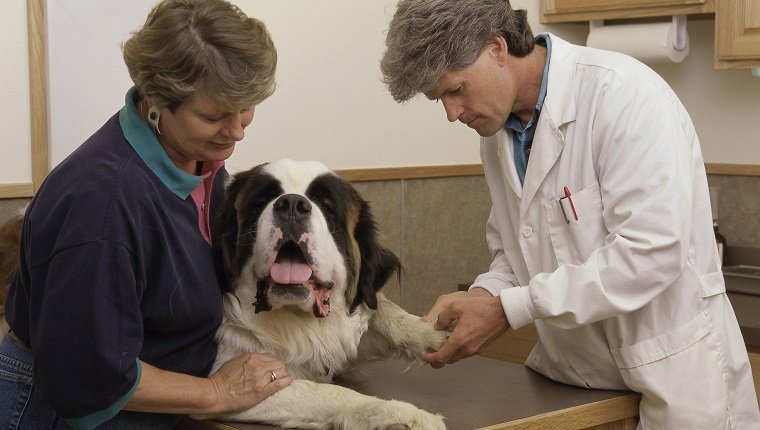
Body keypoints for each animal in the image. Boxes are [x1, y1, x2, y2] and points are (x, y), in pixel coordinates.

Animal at [205, 160, 448, 428]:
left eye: (326, 206)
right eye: (262, 201)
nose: (292, 204)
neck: (296, 321)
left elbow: (381, 310)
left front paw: (434, 333)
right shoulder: (238, 378)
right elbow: (326, 392)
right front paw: (405, 414)